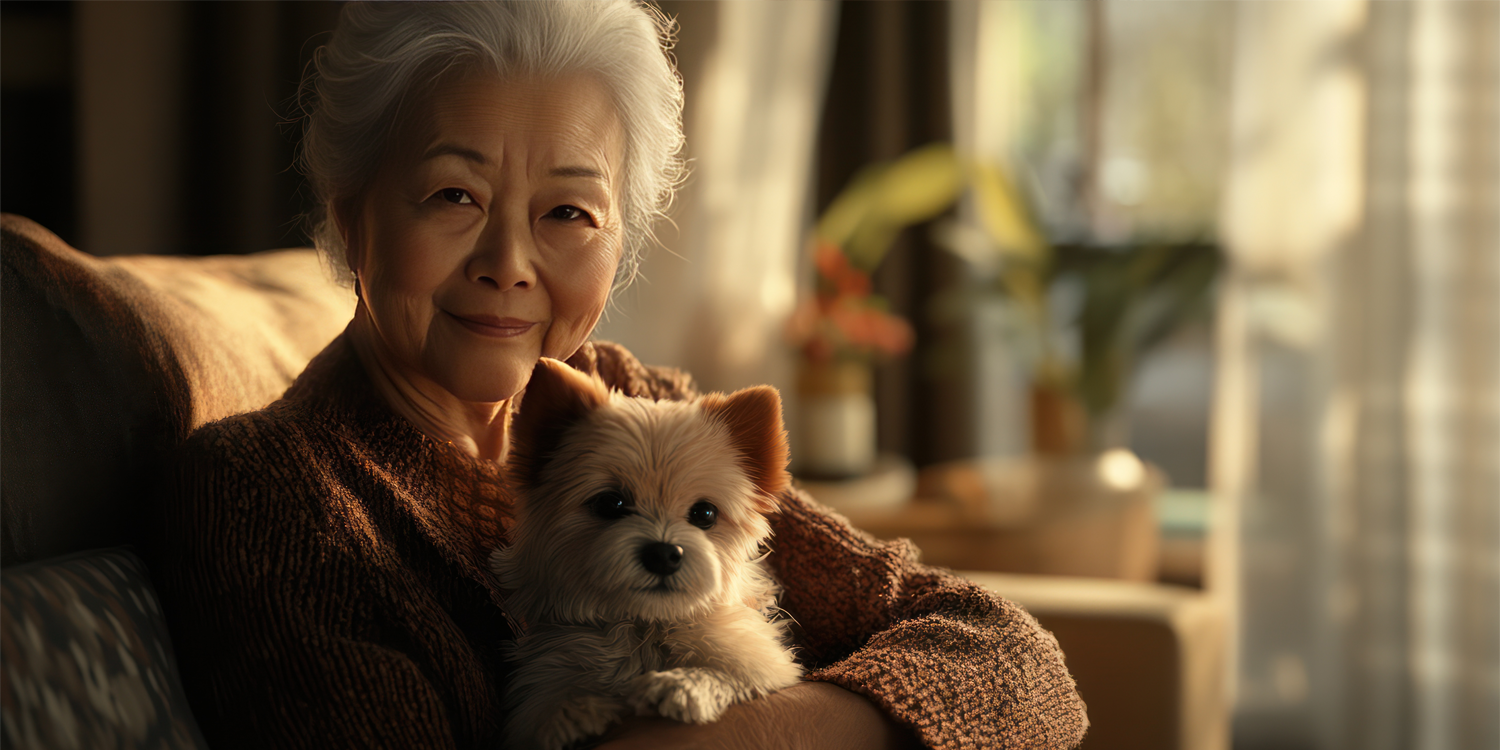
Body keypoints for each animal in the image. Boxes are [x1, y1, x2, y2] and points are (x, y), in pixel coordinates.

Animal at [492, 357, 804, 750]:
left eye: (705, 513)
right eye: (609, 504)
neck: (647, 627)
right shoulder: (546, 671)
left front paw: (682, 684)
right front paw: (569, 715)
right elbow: (542, 708)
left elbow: (729, 674)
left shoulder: (765, 664)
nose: (664, 554)